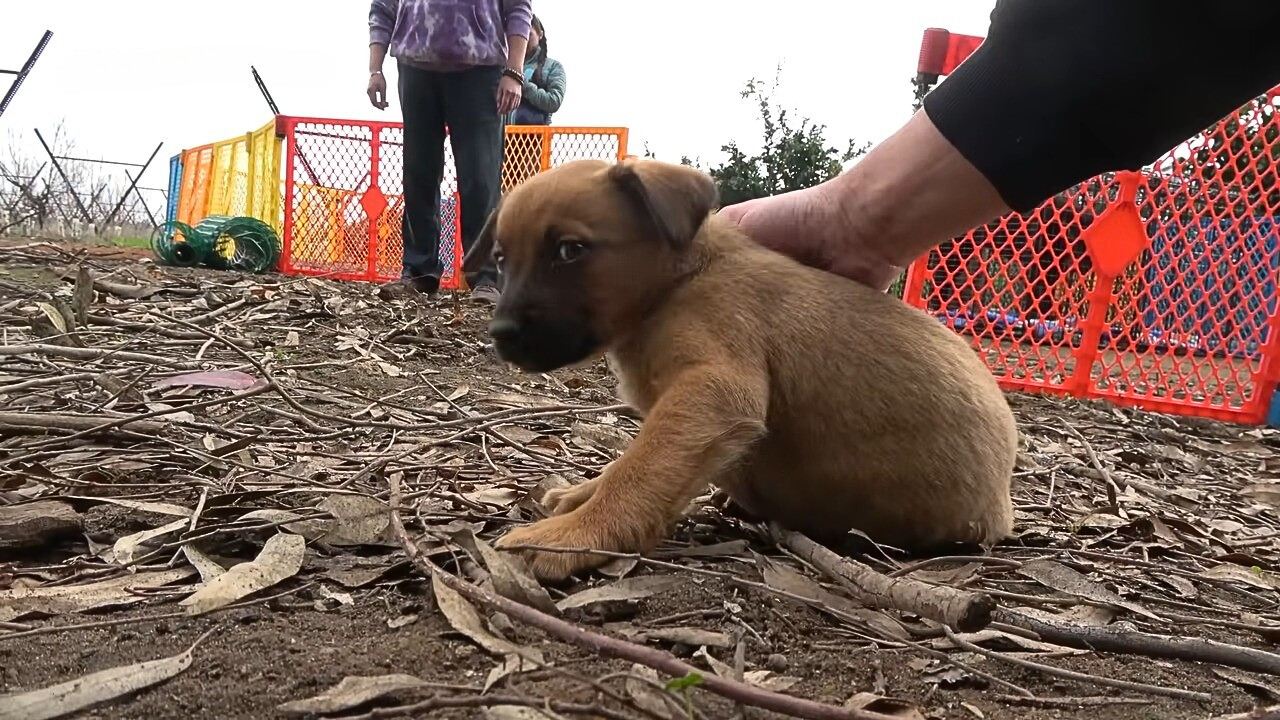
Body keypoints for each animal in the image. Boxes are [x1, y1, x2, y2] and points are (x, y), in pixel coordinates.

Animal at [465, 158, 1013, 584]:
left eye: (569, 250)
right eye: (501, 258)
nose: (501, 334)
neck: (679, 282)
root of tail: (1004, 501)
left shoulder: (713, 391)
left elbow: (636, 470)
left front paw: (570, 536)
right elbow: (629, 465)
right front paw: (580, 495)